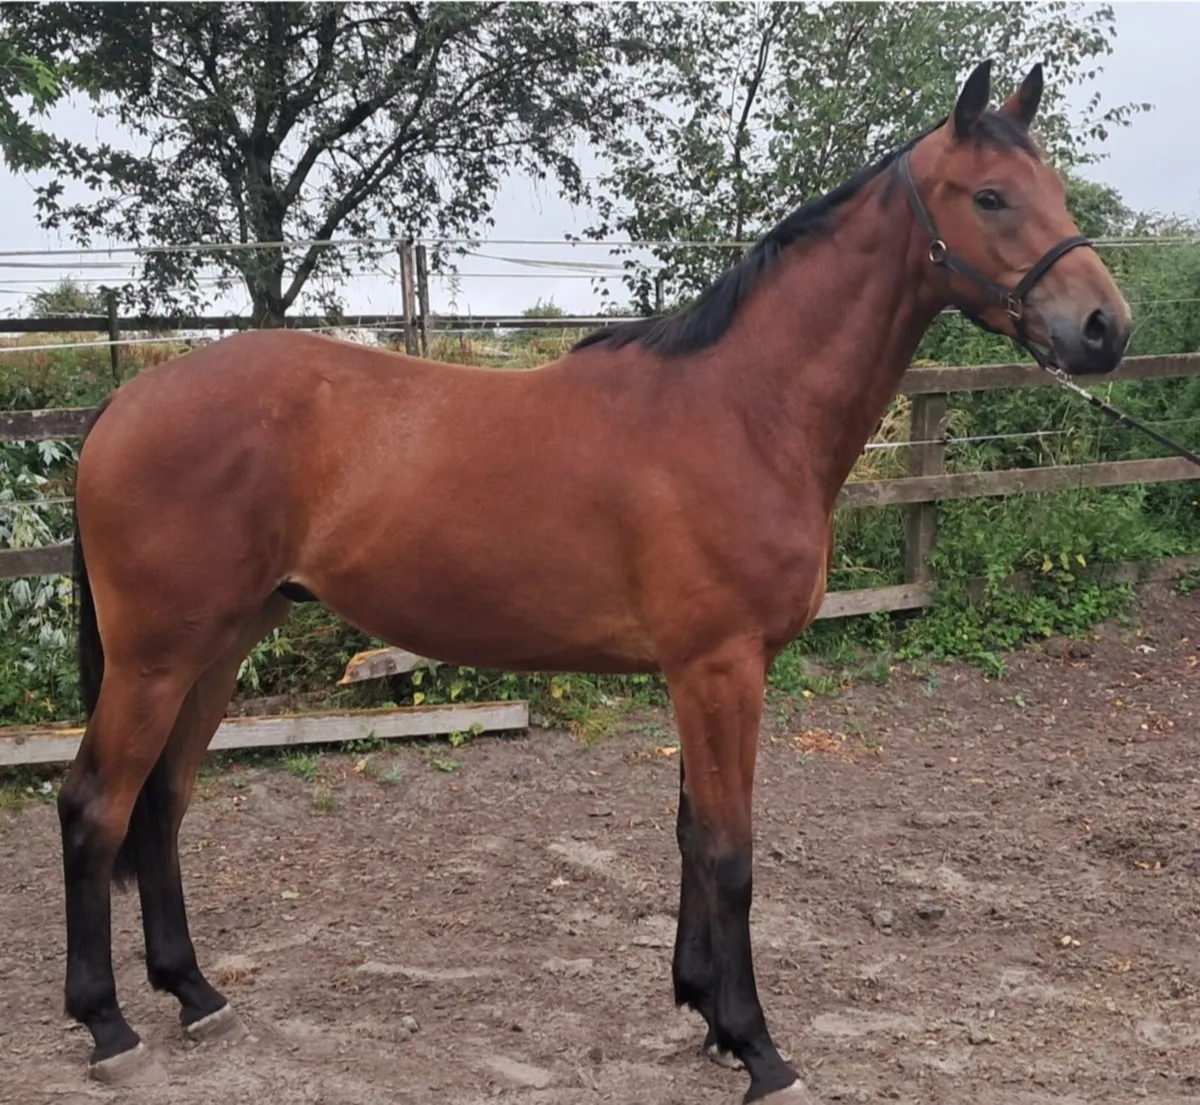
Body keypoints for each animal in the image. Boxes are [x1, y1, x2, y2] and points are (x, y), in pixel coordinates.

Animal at [58, 60, 1130, 1102]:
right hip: (157, 658)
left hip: (218, 646)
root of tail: (127, 399)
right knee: (95, 806)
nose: (1105, 329)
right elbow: (730, 852)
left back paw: (194, 993)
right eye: (990, 195)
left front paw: (705, 1013)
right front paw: (759, 1048)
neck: (745, 409)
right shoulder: (720, 668)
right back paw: (108, 1026)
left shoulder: (702, 672)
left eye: (1056, 189)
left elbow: (692, 832)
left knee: (163, 803)